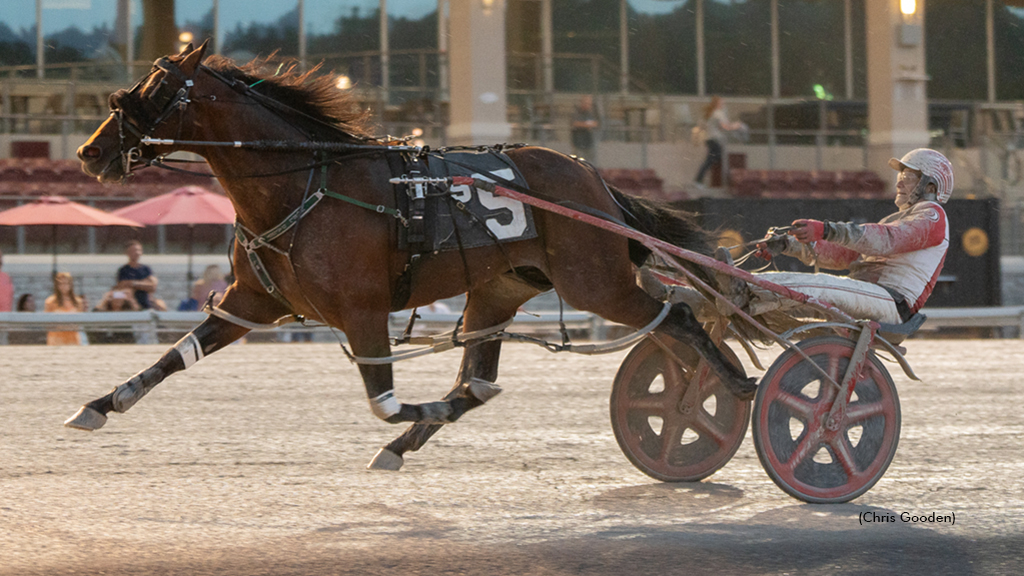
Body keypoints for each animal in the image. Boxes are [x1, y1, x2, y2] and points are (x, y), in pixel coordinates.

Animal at [64, 43, 753, 467]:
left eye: (160, 88)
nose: (89, 152)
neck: (307, 182)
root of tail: (591, 177)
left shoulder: (363, 311)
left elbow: (384, 400)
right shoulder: (252, 301)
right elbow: (177, 354)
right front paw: (99, 405)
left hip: (596, 283)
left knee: (679, 315)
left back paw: (732, 384)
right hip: (500, 288)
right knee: (480, 380)